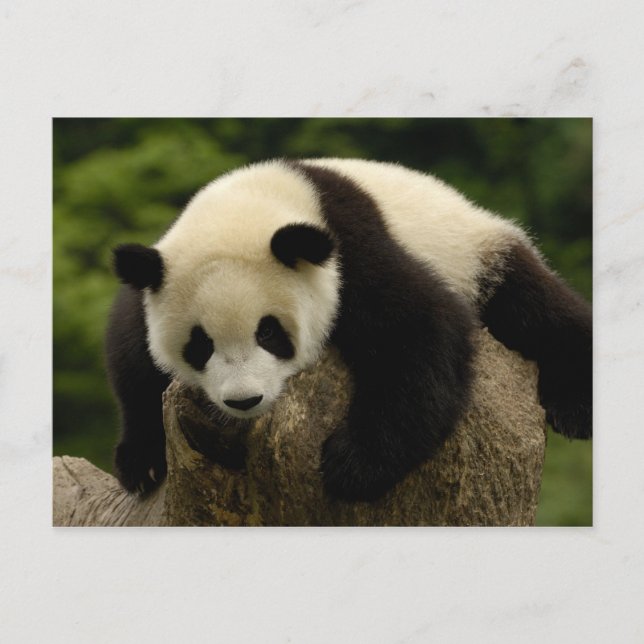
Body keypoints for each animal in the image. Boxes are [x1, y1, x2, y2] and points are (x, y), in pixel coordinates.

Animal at [106, 158, 592, 501]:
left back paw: (574, 408)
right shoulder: (153, 277)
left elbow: (421, 328)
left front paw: (353, 465)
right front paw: (142, 462)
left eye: (269, 333)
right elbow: (132, 358)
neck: (253, 202)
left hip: (477, 256)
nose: (244, 400)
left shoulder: (350, 250)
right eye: (200, 344)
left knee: (537, 310)